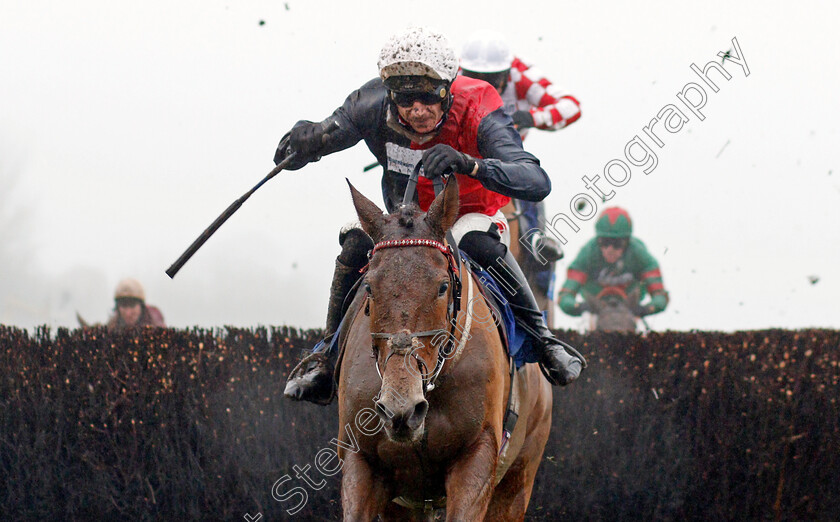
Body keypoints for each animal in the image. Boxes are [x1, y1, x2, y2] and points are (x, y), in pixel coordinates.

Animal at [334, 179, 556, 520]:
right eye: (369, 286)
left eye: (442, 286)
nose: (402, 408)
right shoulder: (362, 462)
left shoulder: (477, 455)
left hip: (519, 477)